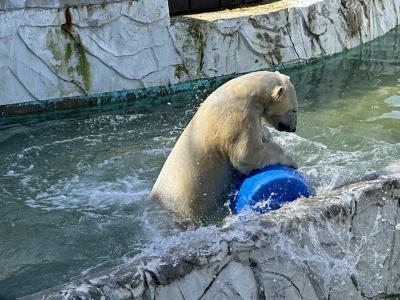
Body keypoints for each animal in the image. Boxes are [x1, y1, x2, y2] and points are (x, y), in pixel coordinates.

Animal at [152, 71, 298, 223]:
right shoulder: (237, 117)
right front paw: (291, 160)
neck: (241, 91)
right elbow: (246, 156)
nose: (293, 128)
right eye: (294, 110)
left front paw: (266, 134)